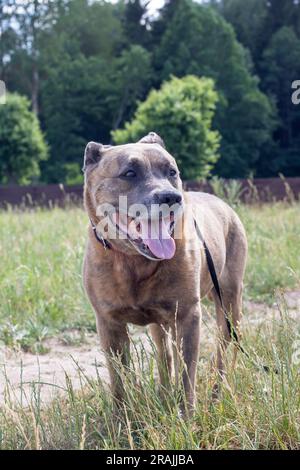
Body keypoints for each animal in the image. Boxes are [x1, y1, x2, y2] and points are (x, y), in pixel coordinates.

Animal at [83, 130, 247, 414]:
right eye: (129, 173)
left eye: (172, 172)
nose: (171, 197)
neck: (134, 261)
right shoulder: (108, 323)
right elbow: (119, 379)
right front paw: (121, 419)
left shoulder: (188, 315)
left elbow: (187, 372)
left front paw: (186, 416)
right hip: (160, 323)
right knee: (164, 354)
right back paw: (164, 393)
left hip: (229, 303)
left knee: (224, 350)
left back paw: (218, 393)